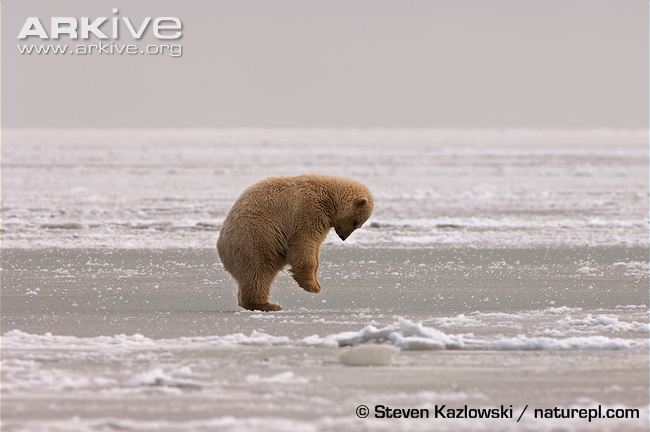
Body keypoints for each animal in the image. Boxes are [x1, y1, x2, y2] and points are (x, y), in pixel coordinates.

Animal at [217, 174, 374, 312]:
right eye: (356, 223)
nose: (343, 237)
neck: (329, 197)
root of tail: (221, 248)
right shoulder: (309, 210)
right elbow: (303, 243)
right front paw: (312, 287)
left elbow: (315, 248)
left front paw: (317, 283)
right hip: (256, 240)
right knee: (258, 274)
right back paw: (267, 305)